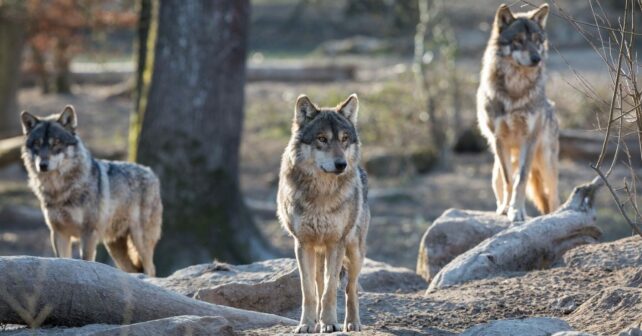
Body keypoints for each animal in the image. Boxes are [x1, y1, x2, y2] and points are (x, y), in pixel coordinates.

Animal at [20, 106, 162, 276]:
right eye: (37, 143)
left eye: (56, 143)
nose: (42, 165)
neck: (59, 190)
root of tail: (150, 172)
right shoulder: (58, 233)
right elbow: (63, 260)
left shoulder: (88, 233)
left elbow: (86, 261)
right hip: (115, 247)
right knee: (133, 270)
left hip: (140, 240)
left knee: (150, 268)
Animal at [276, 94, 370, 334]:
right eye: (322, 139)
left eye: (344, 139)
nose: (341, 164)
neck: (321, 194)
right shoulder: (303, 244)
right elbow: (309, 291)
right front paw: (307, 324)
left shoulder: (336, 243)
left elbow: (330, 290)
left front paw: (330, 323)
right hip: (319, 253)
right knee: (319, 285)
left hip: (354, 251)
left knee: (350, 288)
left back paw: (352, 323)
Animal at [476, 3, 560, 223]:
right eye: (519, 41)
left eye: (537, 41)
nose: (537, 59)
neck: (516, 89)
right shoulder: (499, 140)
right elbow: (510, 180)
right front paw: (507, 209)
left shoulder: (529, 140)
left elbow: (520, 180)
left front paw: (518, 211)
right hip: (496, 169)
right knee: (502, 182)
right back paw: (501, 206)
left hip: (546, 162)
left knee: (554, 196)